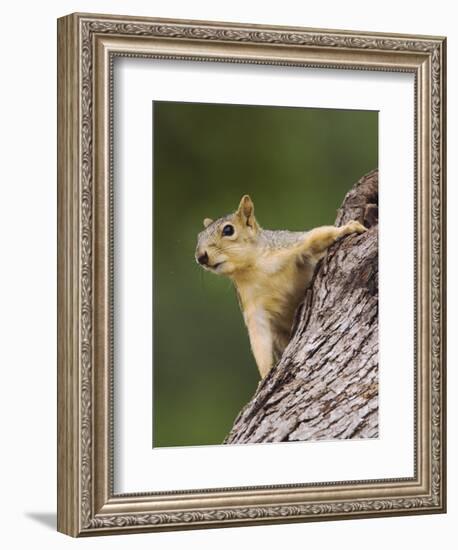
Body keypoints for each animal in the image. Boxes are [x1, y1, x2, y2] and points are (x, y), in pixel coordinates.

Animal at [195, 196, 366, 382]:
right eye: (199, 237)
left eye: (228, 230)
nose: (201, 257)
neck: (254, 268)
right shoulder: (252, 306)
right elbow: (258, 338)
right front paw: (265, 374)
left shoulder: (289, 246)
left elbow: (317, 236)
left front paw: (349, 228)